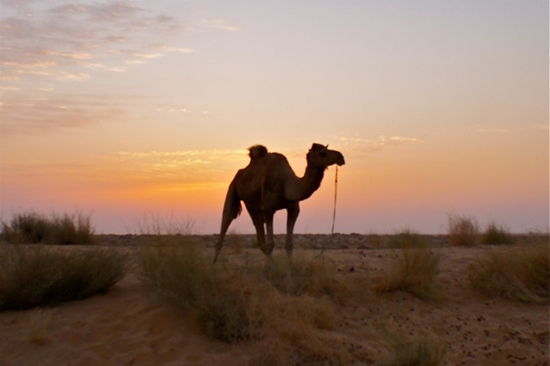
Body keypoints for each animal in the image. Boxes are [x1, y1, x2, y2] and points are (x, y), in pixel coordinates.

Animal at [215, 143, 344, 264]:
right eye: (322, 153)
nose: (341, 157)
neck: (287, 185)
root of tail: (241, 173)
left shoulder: (293, 208)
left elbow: (289, 244)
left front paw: (290, 266)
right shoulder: (268, 208)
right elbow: (271, 243)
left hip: (253, 205)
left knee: (259, 234)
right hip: (234, 189)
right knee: (228, 215)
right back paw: (214, 263)